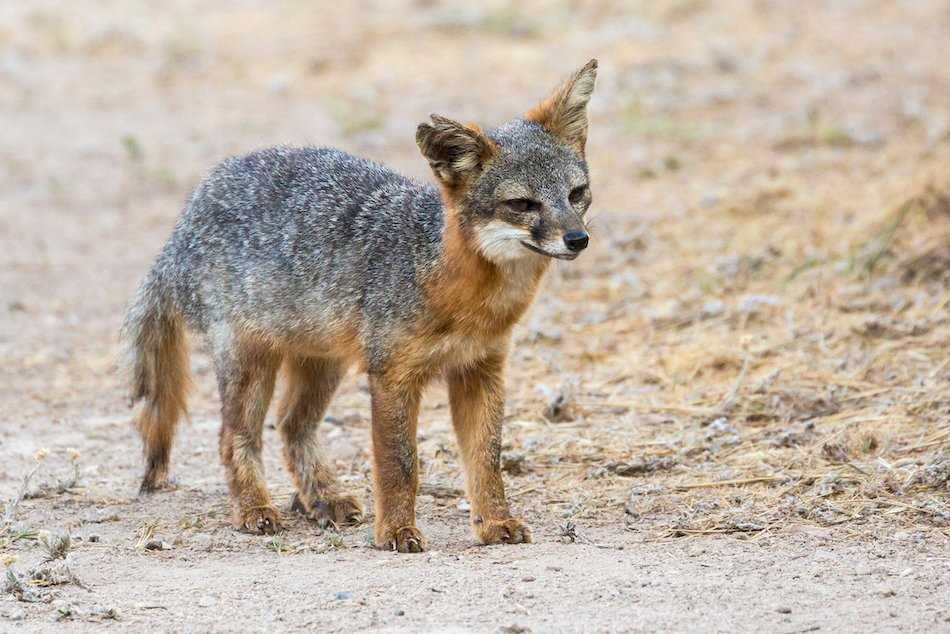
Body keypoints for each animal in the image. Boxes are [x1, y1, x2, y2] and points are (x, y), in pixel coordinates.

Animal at [122, 60, 600, 552]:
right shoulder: (392, 376)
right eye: (522, 204)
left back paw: (323, 499)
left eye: (576, 193)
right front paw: (397, 531)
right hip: (251, 364)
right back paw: (255, 509)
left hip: (322, 362)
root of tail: (186, 217)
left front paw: (495, 522)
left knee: (292, 427)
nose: (577, 239)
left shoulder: (480, 369)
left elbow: (487, 458)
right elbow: (399, 464)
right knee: (234, 435)